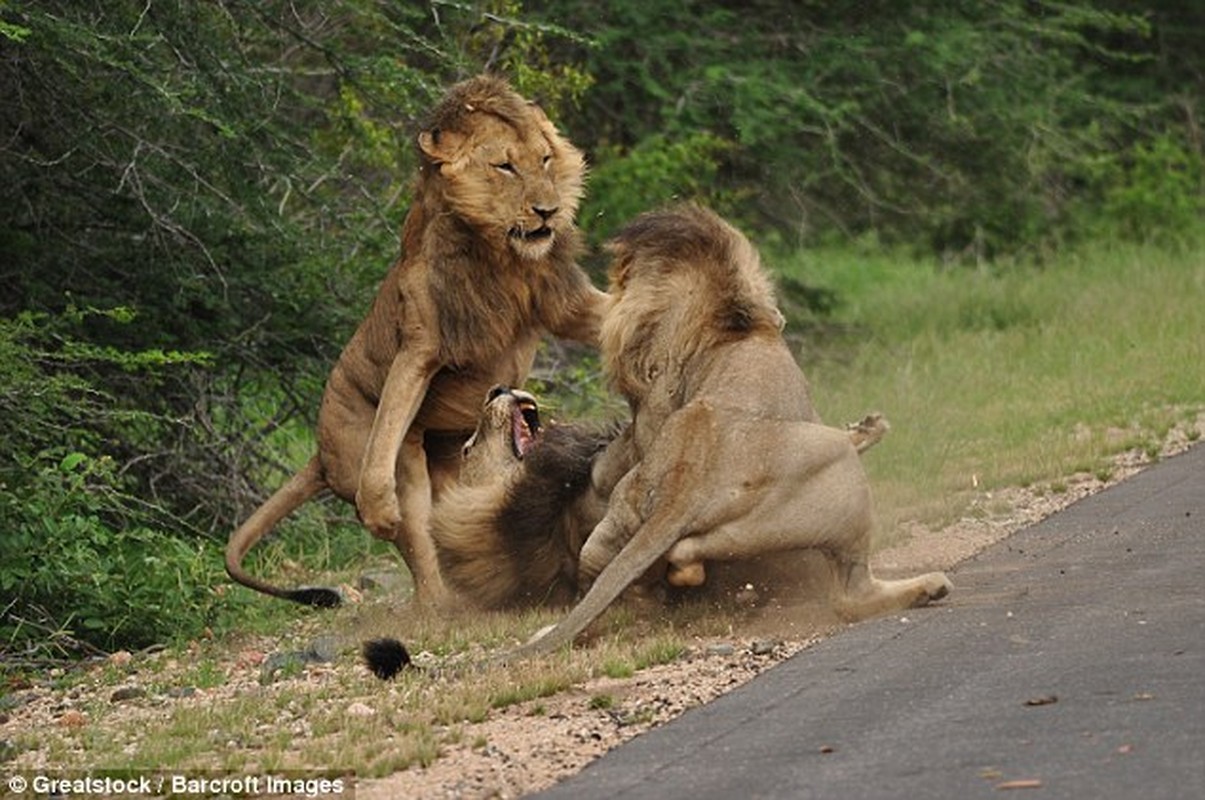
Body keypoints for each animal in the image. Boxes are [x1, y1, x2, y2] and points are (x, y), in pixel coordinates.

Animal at [220, 76, 602, 612]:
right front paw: (379, 510)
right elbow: (397, 404)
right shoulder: (420, 345)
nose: (547, 211)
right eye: (504, 166)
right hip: (398, 461)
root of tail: (319, 454)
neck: (502, 257)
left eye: (545, 159)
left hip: (453, 465)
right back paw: (442, 601)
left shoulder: (568, 304)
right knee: (420, 545)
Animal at [513, 204, 954, 655]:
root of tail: (682, 489)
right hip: (837, 476)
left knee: (643, 561)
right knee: (848, 594)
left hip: (644, 518)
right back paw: (930, 585)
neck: (727, 316)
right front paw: (870, 427)